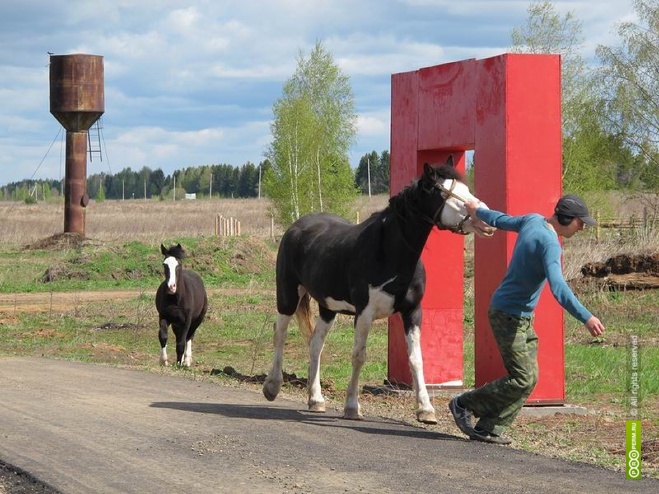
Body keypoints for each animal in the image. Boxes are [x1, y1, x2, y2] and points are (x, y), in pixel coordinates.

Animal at [262, 158, 496, 424]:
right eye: (445, 192)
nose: (485, 219)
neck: (390, 252)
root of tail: (296, 226)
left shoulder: (412, 312)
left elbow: (416, 359)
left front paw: (425, 409)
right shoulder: (365, 313)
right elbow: (359, 356)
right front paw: (352, 407)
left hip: (327, 308)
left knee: (315, 343)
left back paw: (316, 399)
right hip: (288, 295)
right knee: (280, 333)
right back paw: (272, 386)